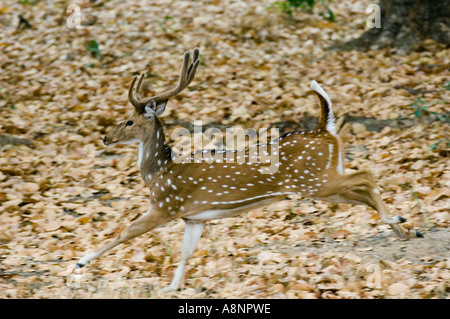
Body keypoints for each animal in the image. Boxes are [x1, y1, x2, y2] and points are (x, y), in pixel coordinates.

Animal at [74, 48, 422, 292]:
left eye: (128, 121)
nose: (105, 137)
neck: (158, 173)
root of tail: (325, 130)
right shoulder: (194, 218)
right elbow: (186, 253)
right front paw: (171, 287)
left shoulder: (165, 206)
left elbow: (124, 232)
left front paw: (80, 262)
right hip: (321, 182)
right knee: (362, 189)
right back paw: (404, 228)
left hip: (315, 181)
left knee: (366, 174)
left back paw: (398, 221)